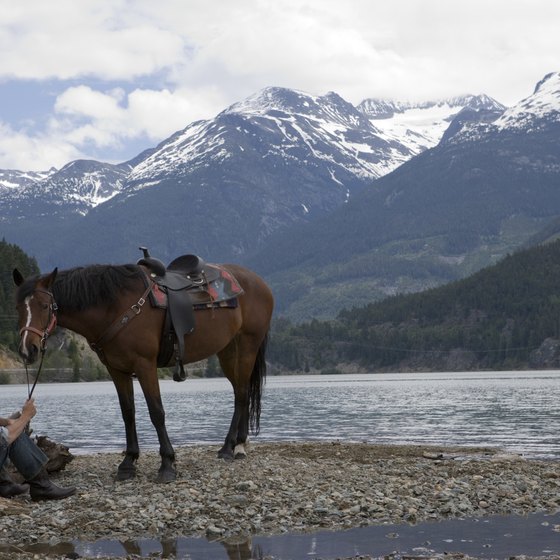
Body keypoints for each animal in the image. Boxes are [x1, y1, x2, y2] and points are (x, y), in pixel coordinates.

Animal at [12, 260, 274, 484]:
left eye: (45, 306)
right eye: (18, 308)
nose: (27, 349)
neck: (114, 305)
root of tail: (259, 282)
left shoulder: (145, 365)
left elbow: (156, 412)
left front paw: (167, 464)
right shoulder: (116, 369)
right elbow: (128, 412)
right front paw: (128, 463)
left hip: (247, 346)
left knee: (242, 394)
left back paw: (232, 448)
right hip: (227, 351)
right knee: (241, 392)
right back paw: (237, 444)